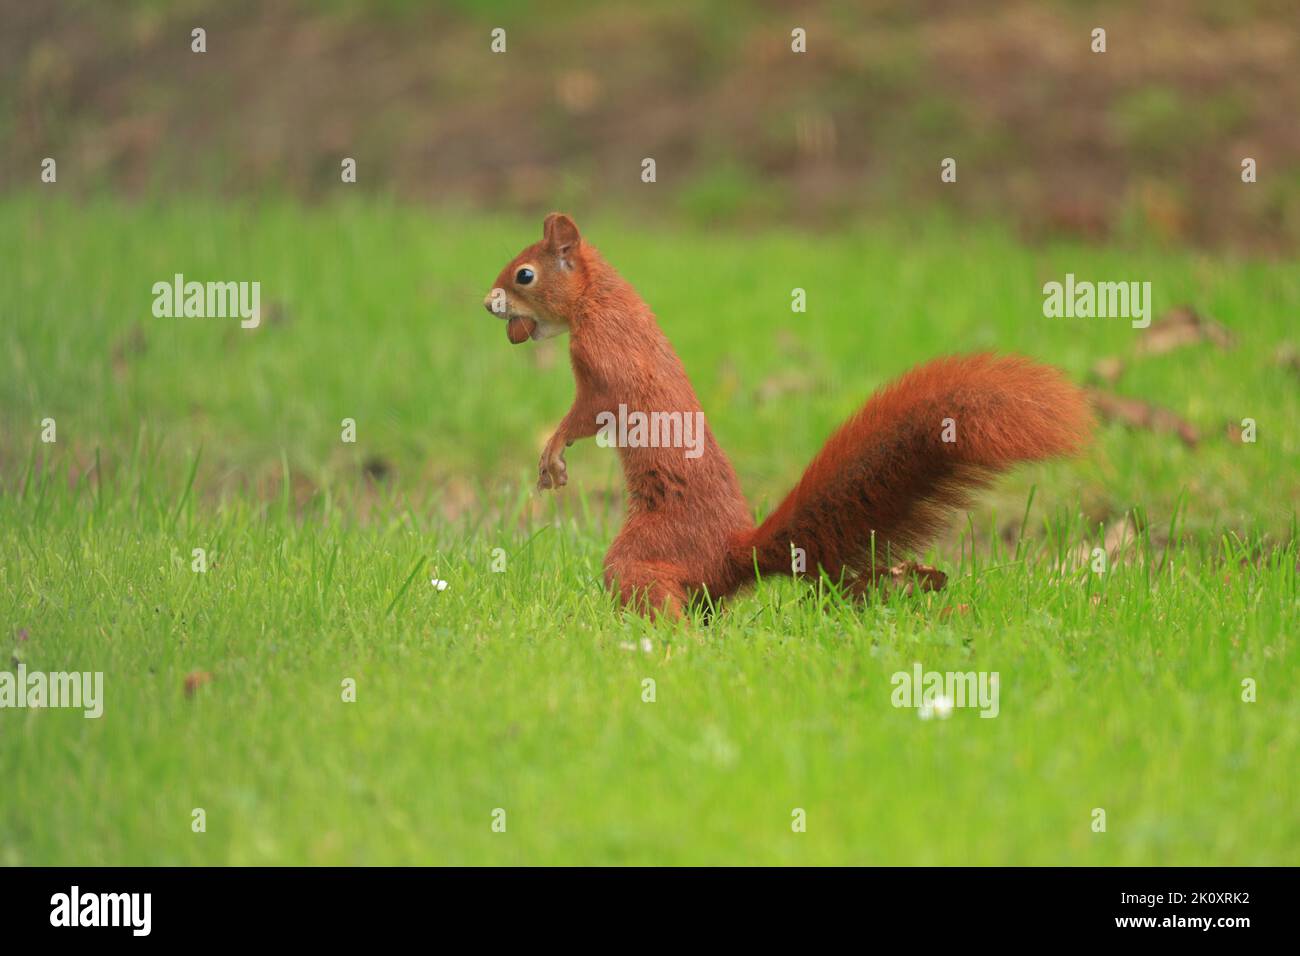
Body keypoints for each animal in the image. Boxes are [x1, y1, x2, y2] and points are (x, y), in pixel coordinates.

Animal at [483, 214, 1092, 621]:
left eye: (524, 275)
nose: (488, 304)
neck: (600, 298)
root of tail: (735, 551)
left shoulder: (604, 361)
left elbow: (589, 411)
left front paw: (553, 452)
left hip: (643, 555)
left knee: (657, 597)